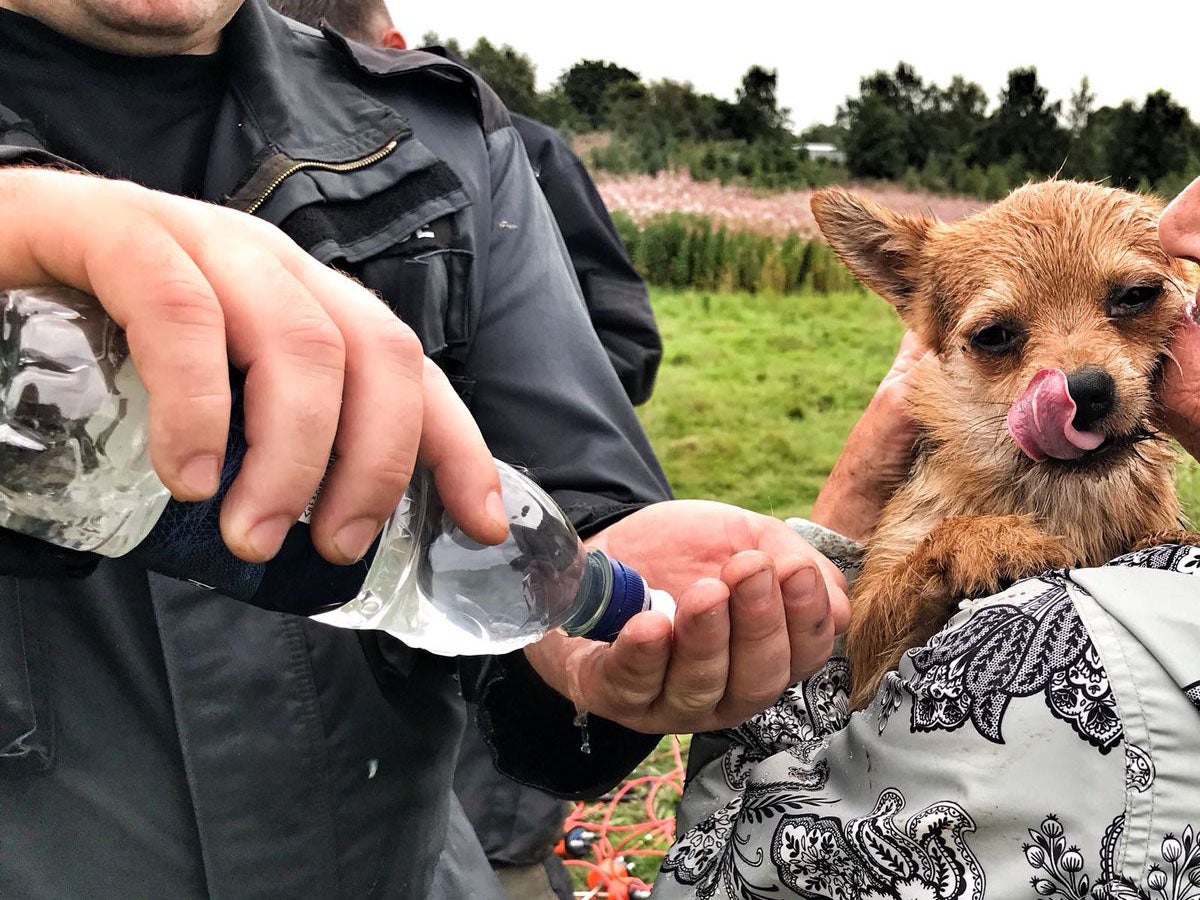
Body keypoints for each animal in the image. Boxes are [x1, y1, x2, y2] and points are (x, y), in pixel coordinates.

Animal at [811, 180, 1195, 710]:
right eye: (993, 335)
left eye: (1137, 296)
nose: (1084, 391)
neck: (1060, 493)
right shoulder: (863, 666)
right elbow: (928, 548)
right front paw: (995, 540)